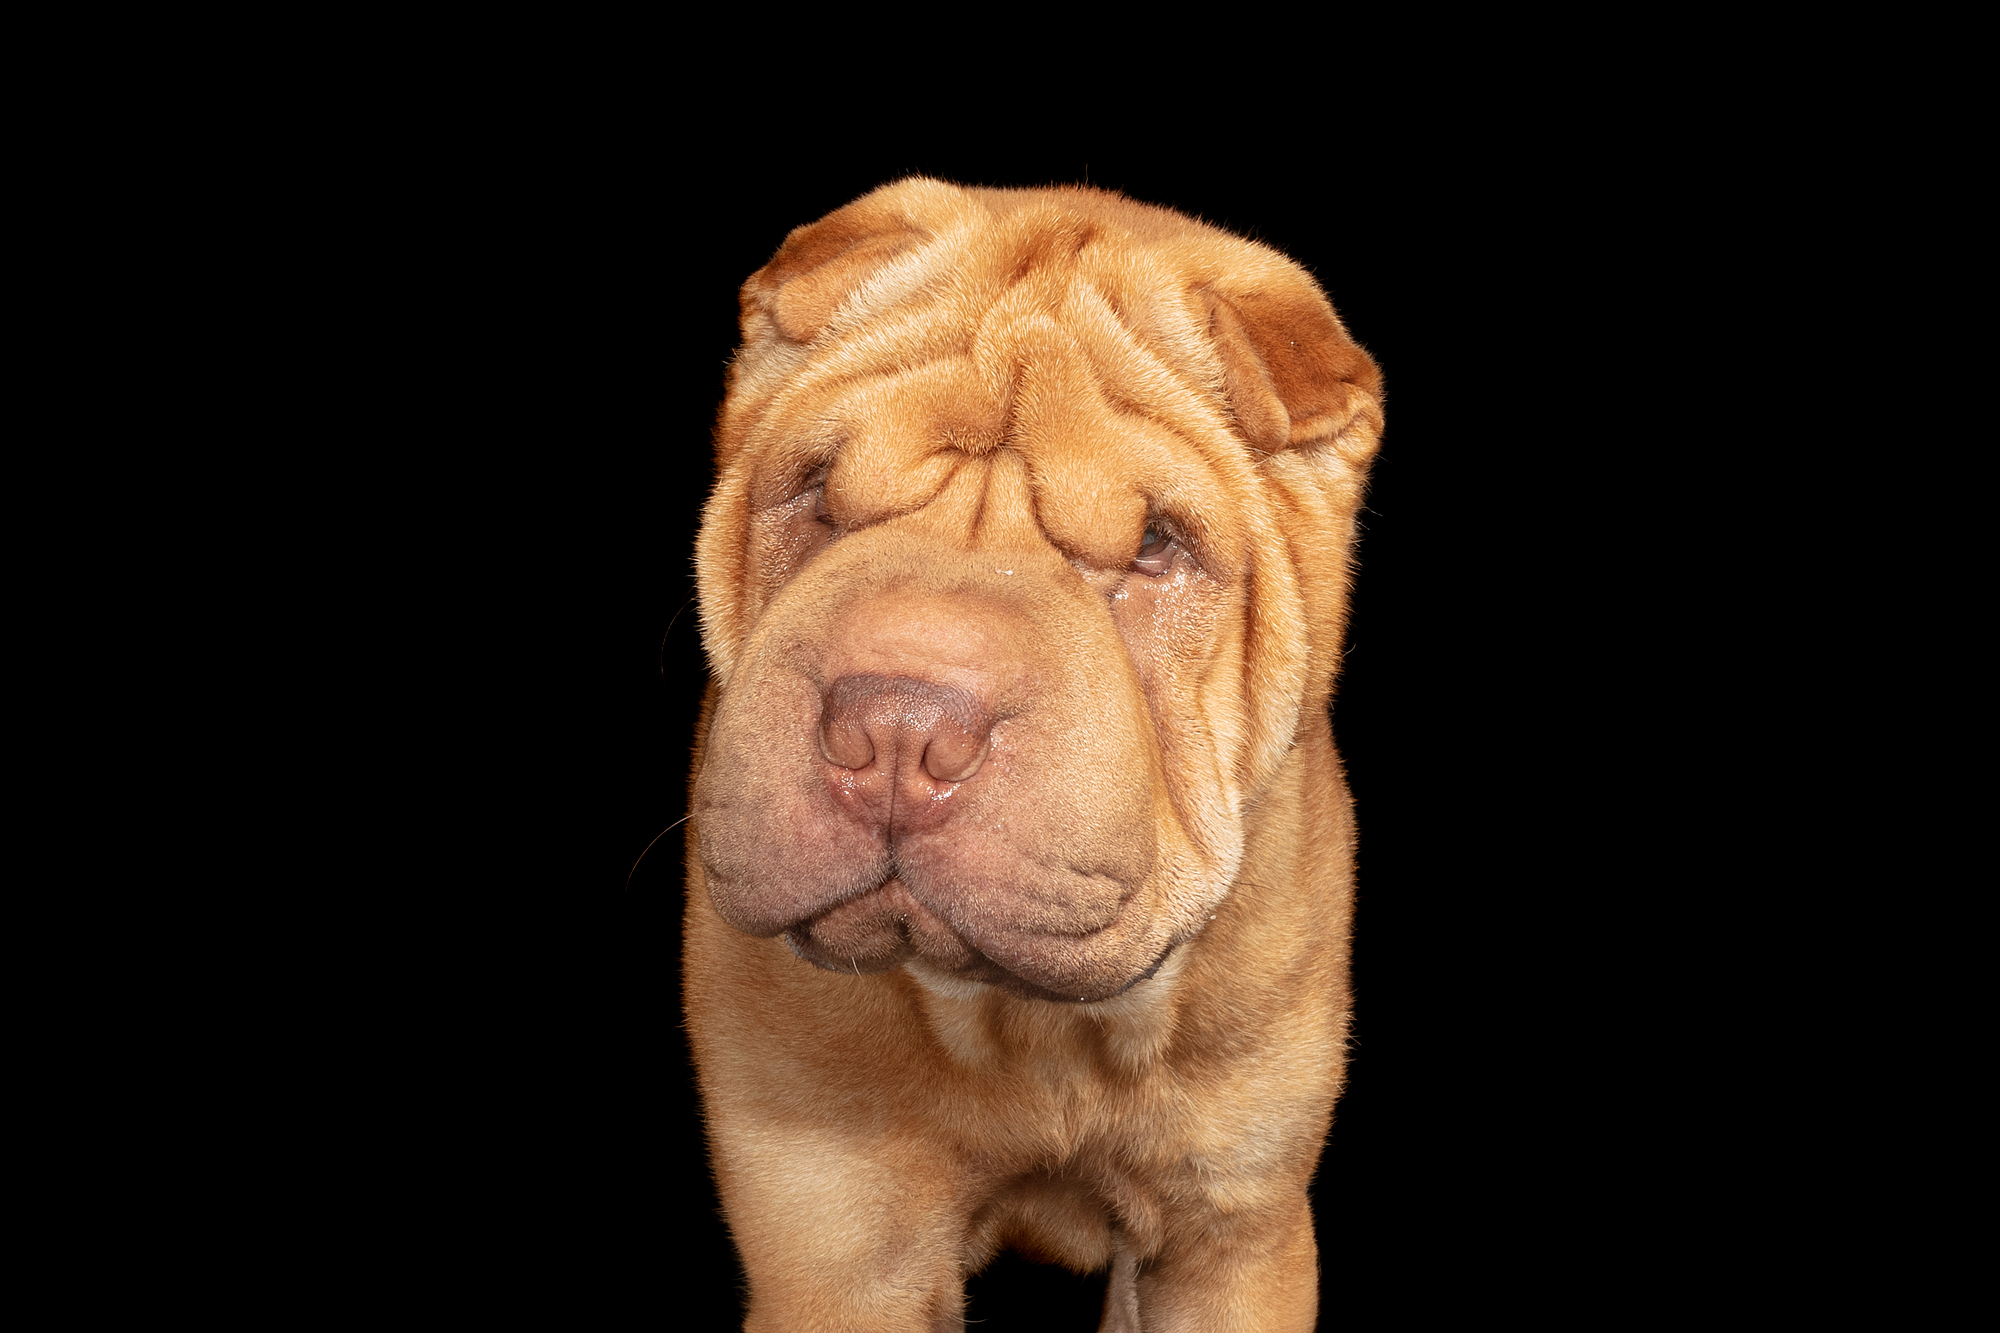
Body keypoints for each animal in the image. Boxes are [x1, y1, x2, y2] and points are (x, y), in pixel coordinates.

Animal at [684, 178, 1382, 1331]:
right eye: (818, 491)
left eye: (1155, 545)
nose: (899, 726)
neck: (1032, 1033)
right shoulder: (836, 1244)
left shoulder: (1232, 1230)